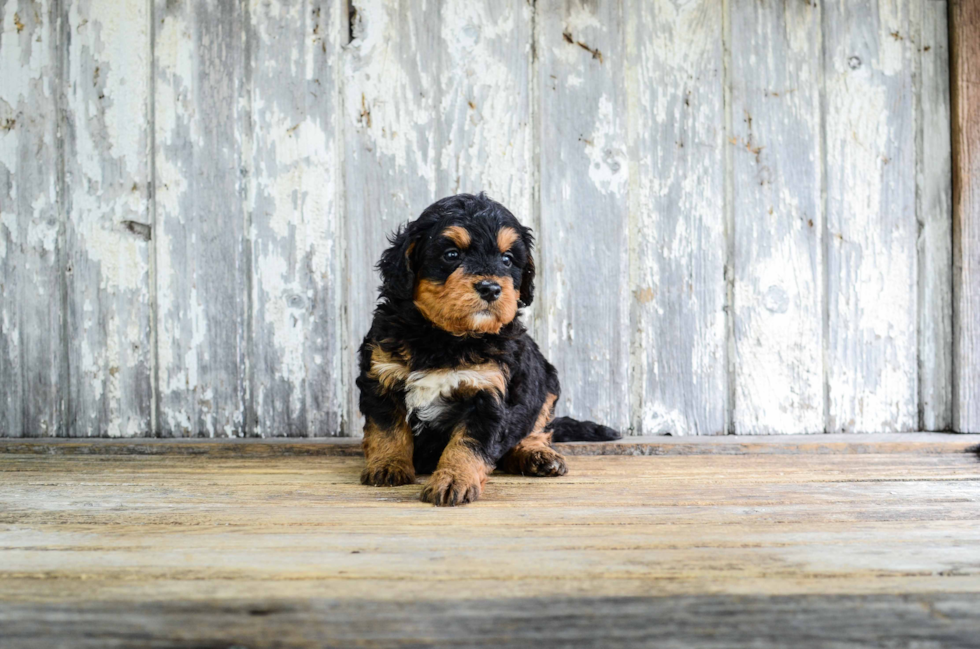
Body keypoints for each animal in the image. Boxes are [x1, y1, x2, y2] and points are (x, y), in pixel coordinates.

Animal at [356, 192, 620, 506]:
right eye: (451, 255)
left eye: (507, 260)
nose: (491, 288)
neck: (446, 338)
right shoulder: (381, 375)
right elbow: (388, 429)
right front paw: (389, 466)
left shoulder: (488, 392)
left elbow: (467, 444)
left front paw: (453, 480)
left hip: (545, 382)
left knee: (536, 428)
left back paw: (537, 455)